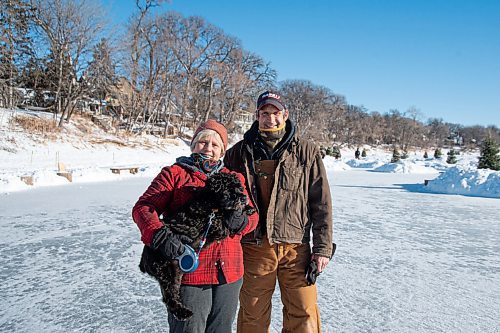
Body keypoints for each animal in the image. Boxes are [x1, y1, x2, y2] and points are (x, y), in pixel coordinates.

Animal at [139, 171, 256, 320]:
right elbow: (226, 215)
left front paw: (249, 208)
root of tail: (144, 257)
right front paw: (243, 210)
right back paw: (183, 312)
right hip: (168, 272)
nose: (243, 197)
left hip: (176, 271)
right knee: (169, 297)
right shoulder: (216, 226)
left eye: (240, 187)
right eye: (227, 191)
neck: (209, 203)